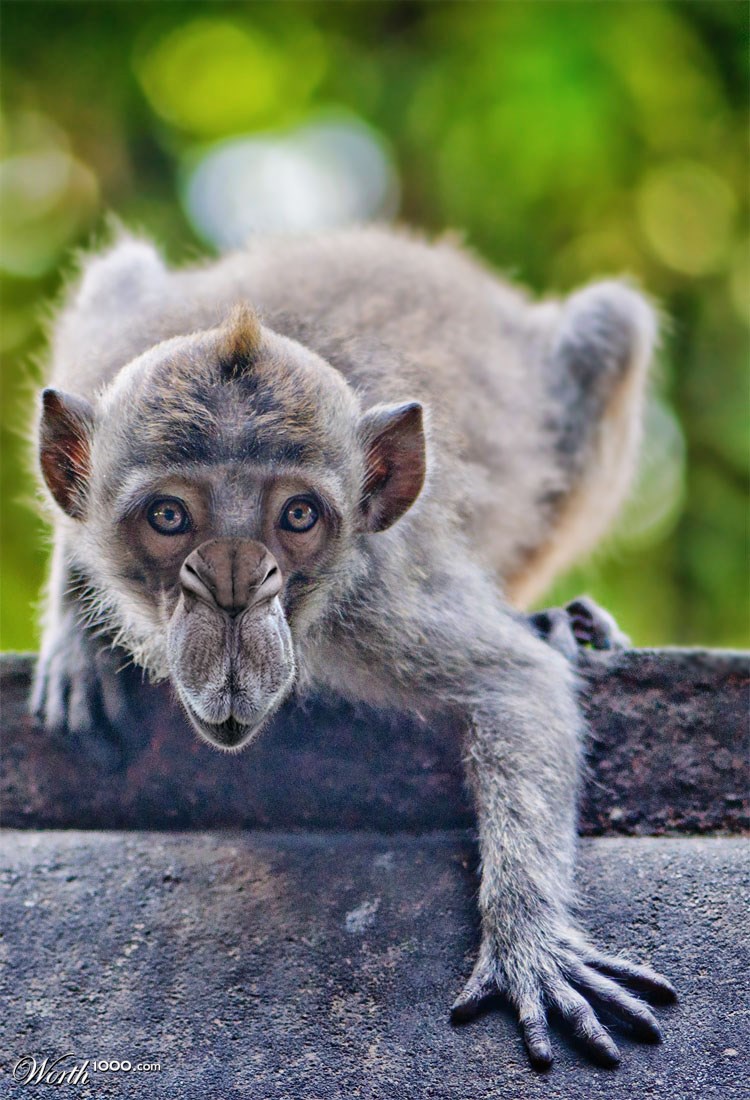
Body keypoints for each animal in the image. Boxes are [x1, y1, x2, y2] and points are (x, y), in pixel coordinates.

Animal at [31, 226, 675, 1069]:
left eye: (298, 516)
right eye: (170, 517)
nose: (234, 591)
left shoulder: (375, 601)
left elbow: (514, 684)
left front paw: (528, 940)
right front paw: (77, 619)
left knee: (609, 331)